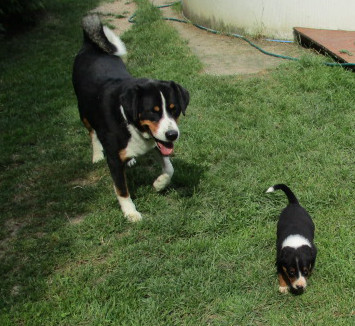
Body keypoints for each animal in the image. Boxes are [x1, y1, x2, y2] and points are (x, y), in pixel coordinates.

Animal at [71, 15, 189, 224]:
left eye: (174, 109)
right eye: (153, 112)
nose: (172, 134)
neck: (128, 121)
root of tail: (90, 45)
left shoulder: (157, 142)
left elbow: (169, 168)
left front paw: (160, 183)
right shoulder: (114, 159)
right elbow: (122, 189)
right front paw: (130, 212)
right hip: (83, 111)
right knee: (92, 132)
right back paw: (97, 155)